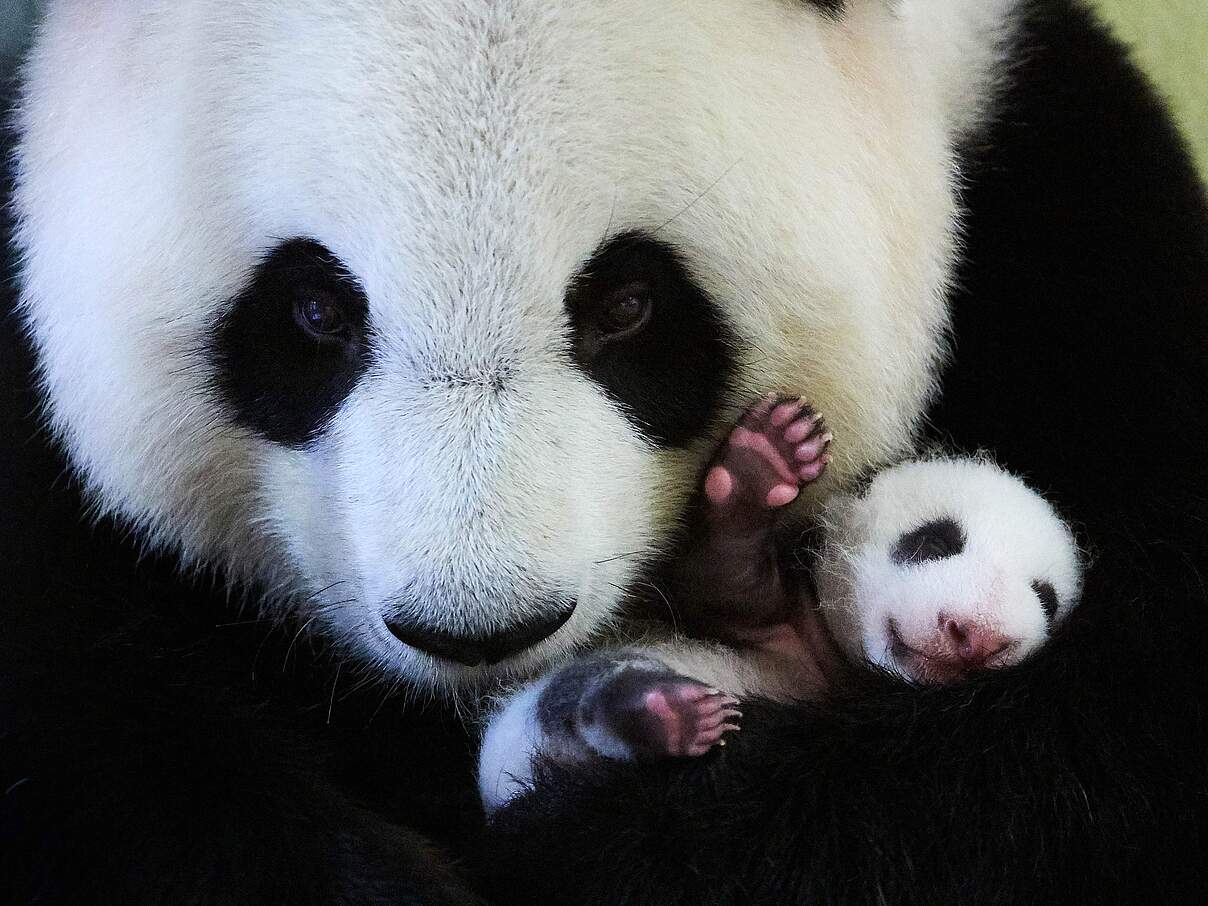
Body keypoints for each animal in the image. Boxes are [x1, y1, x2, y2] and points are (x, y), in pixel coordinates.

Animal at [475, 396, 1082, 816]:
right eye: (935, 541)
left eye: (1045, 599)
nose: (977, 633)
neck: (825, 664)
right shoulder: (760, 617)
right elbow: (719, 580)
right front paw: (766, 458)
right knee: (572, 698)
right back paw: (662, 710)